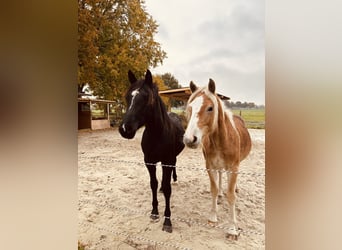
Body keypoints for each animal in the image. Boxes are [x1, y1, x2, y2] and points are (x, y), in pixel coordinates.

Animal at [119, 69, 186, 232]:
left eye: (147, 98)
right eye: (127, 96)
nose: (125, 129)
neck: (157, 134)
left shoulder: (167, 160)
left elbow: (168, 189)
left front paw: (167, 220)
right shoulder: (149, 162)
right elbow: (153, 184)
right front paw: (155, 212)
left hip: (171, 159)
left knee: (173, 169)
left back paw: (174, 179)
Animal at [184, 79, 251, 239]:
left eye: (210, 108)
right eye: (190, 107)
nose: (189, 139)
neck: (222, 139)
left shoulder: (233, 167)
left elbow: (231, 195)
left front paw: (232, 229)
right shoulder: (210, 166)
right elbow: (213, 190)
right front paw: (213, 217)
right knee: (220, 177)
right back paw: (221, 193)